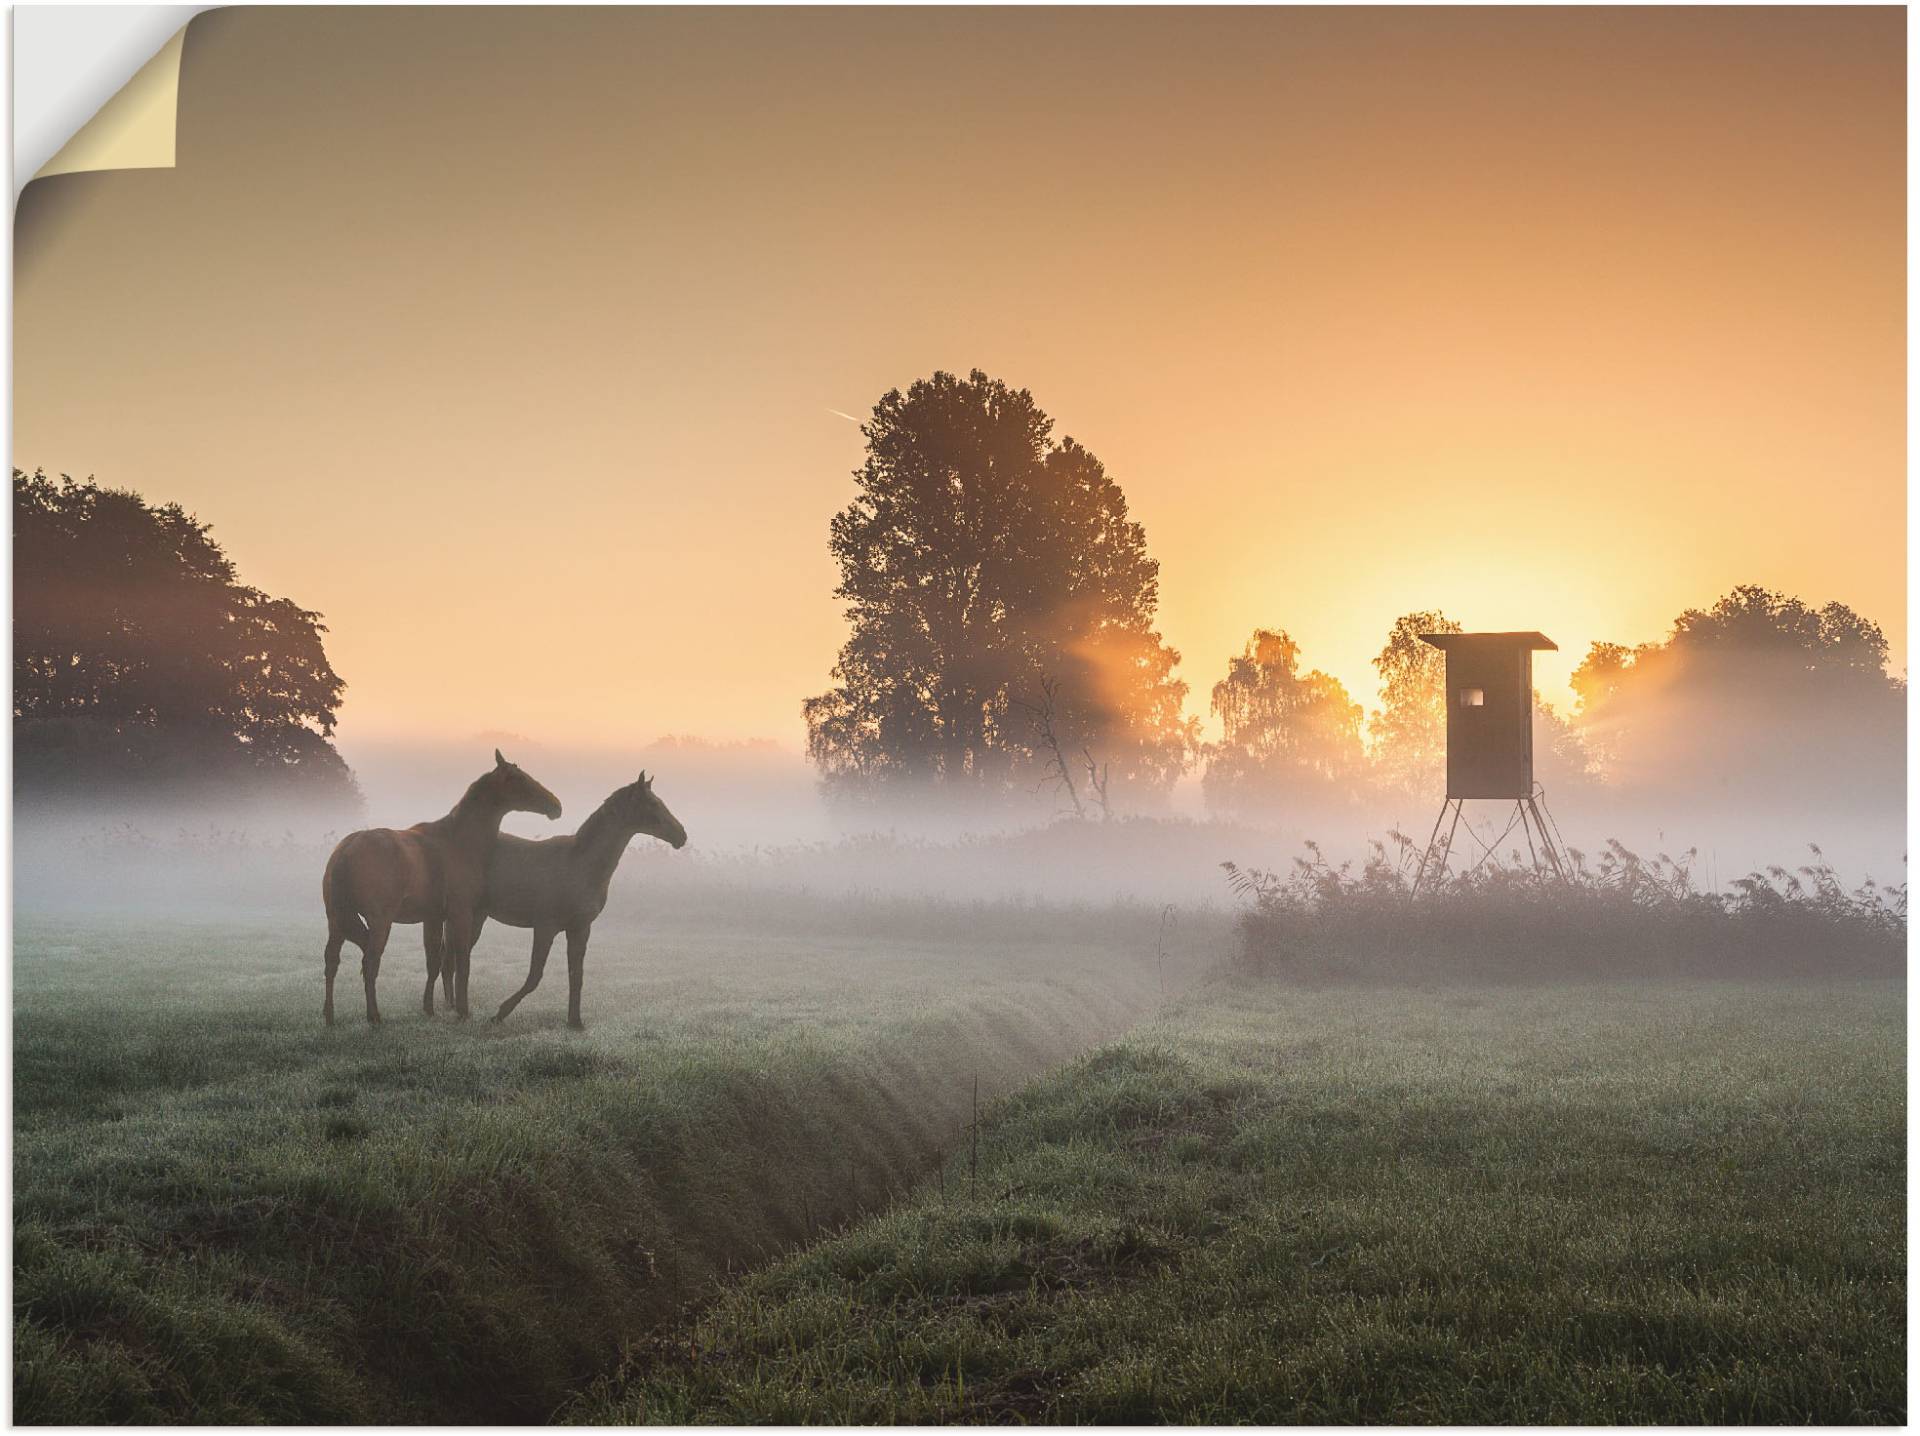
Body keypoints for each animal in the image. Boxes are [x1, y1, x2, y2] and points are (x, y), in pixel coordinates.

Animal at [320, 744, 560, 1029]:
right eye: (518, 778)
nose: (555, 806)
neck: (457, 840)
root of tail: (345, 850)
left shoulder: (433, 917)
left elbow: (434, 961)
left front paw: (429, 1008)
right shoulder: (462, 914)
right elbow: (462, 961)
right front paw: (462, 1010)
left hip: (336, 920)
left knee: (331, 961)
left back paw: (330, 1015)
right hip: (380, 922)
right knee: (370, 962)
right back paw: (374, 1016)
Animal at [462, 775, 691, 1029]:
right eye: (652, 803)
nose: (681, 835)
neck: (580, 863)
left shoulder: (580, 928)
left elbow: (576, 975)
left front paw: (575, 1022)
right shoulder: (545, 927)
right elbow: (535, 976)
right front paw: (500, 1013)